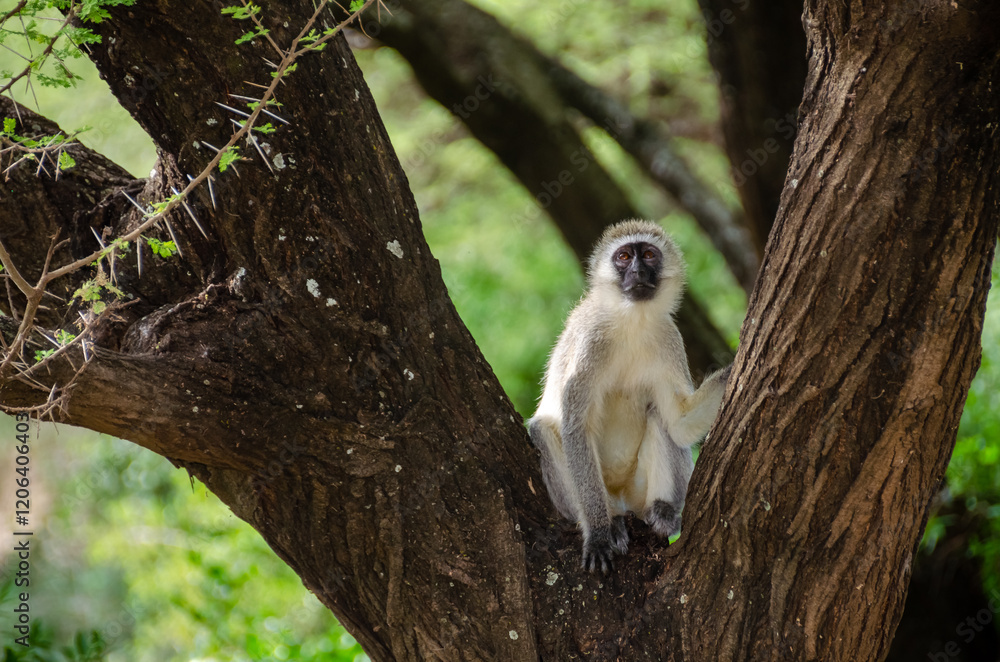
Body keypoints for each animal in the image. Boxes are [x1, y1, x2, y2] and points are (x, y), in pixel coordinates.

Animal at [527, 219, 731, 573]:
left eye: (649, 255)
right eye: (623, 257)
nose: (637, 271)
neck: (632, 321)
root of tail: (623, 502)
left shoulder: (669, 338)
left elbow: (679, 423)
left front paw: (735, 369)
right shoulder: (589, 342)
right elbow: (576, 428)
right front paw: (598, 533)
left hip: (638, 489)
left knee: (659, 416)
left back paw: (663, 511)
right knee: (544, 430)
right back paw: (612, 522)